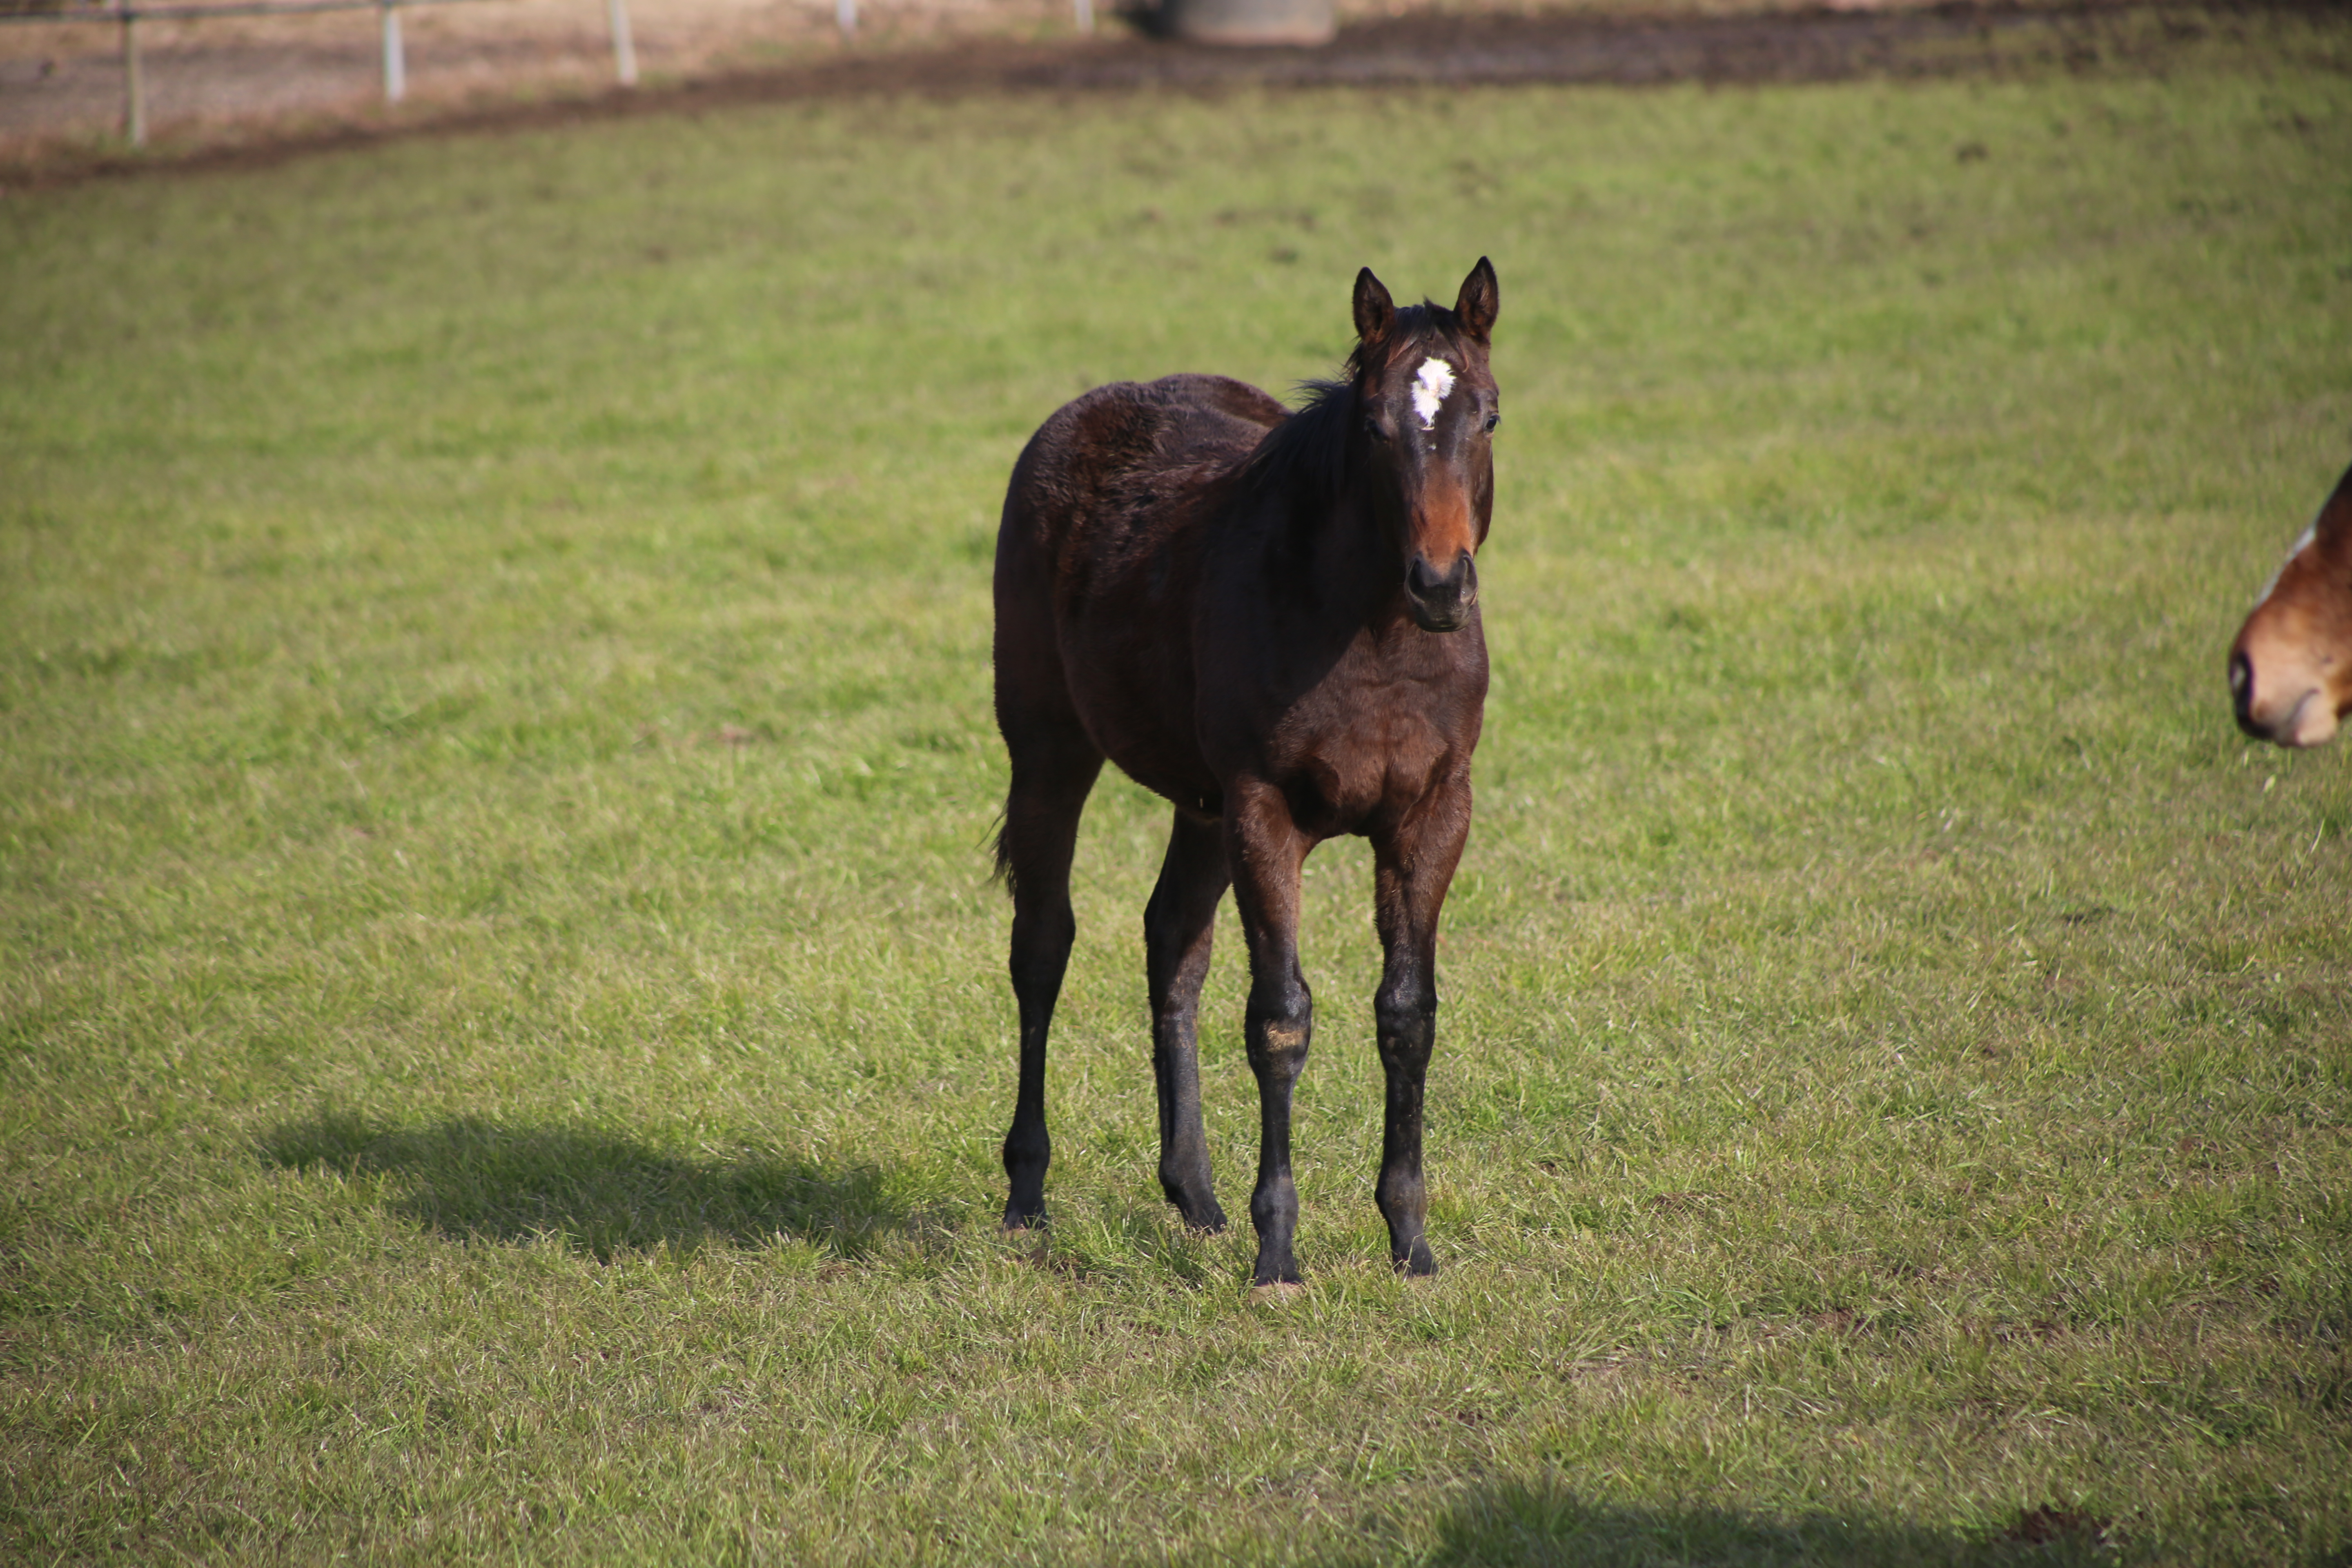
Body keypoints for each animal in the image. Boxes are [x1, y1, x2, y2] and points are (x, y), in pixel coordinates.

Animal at [983, 255, 1496, 1288]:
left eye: (1489, 417)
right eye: (1376, 426)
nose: (1439, 585)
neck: (1373, 639)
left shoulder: (1431, 813)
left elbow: (1407, 1015)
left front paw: (1410, 1243)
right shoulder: (1266, 810)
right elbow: (1280, 1018)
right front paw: (1280, 1255)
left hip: (1202, 803)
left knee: (1172, 940)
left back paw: (1194, 1192)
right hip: (1052, 753)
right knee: (1042, 947)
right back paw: (1028, 1194)